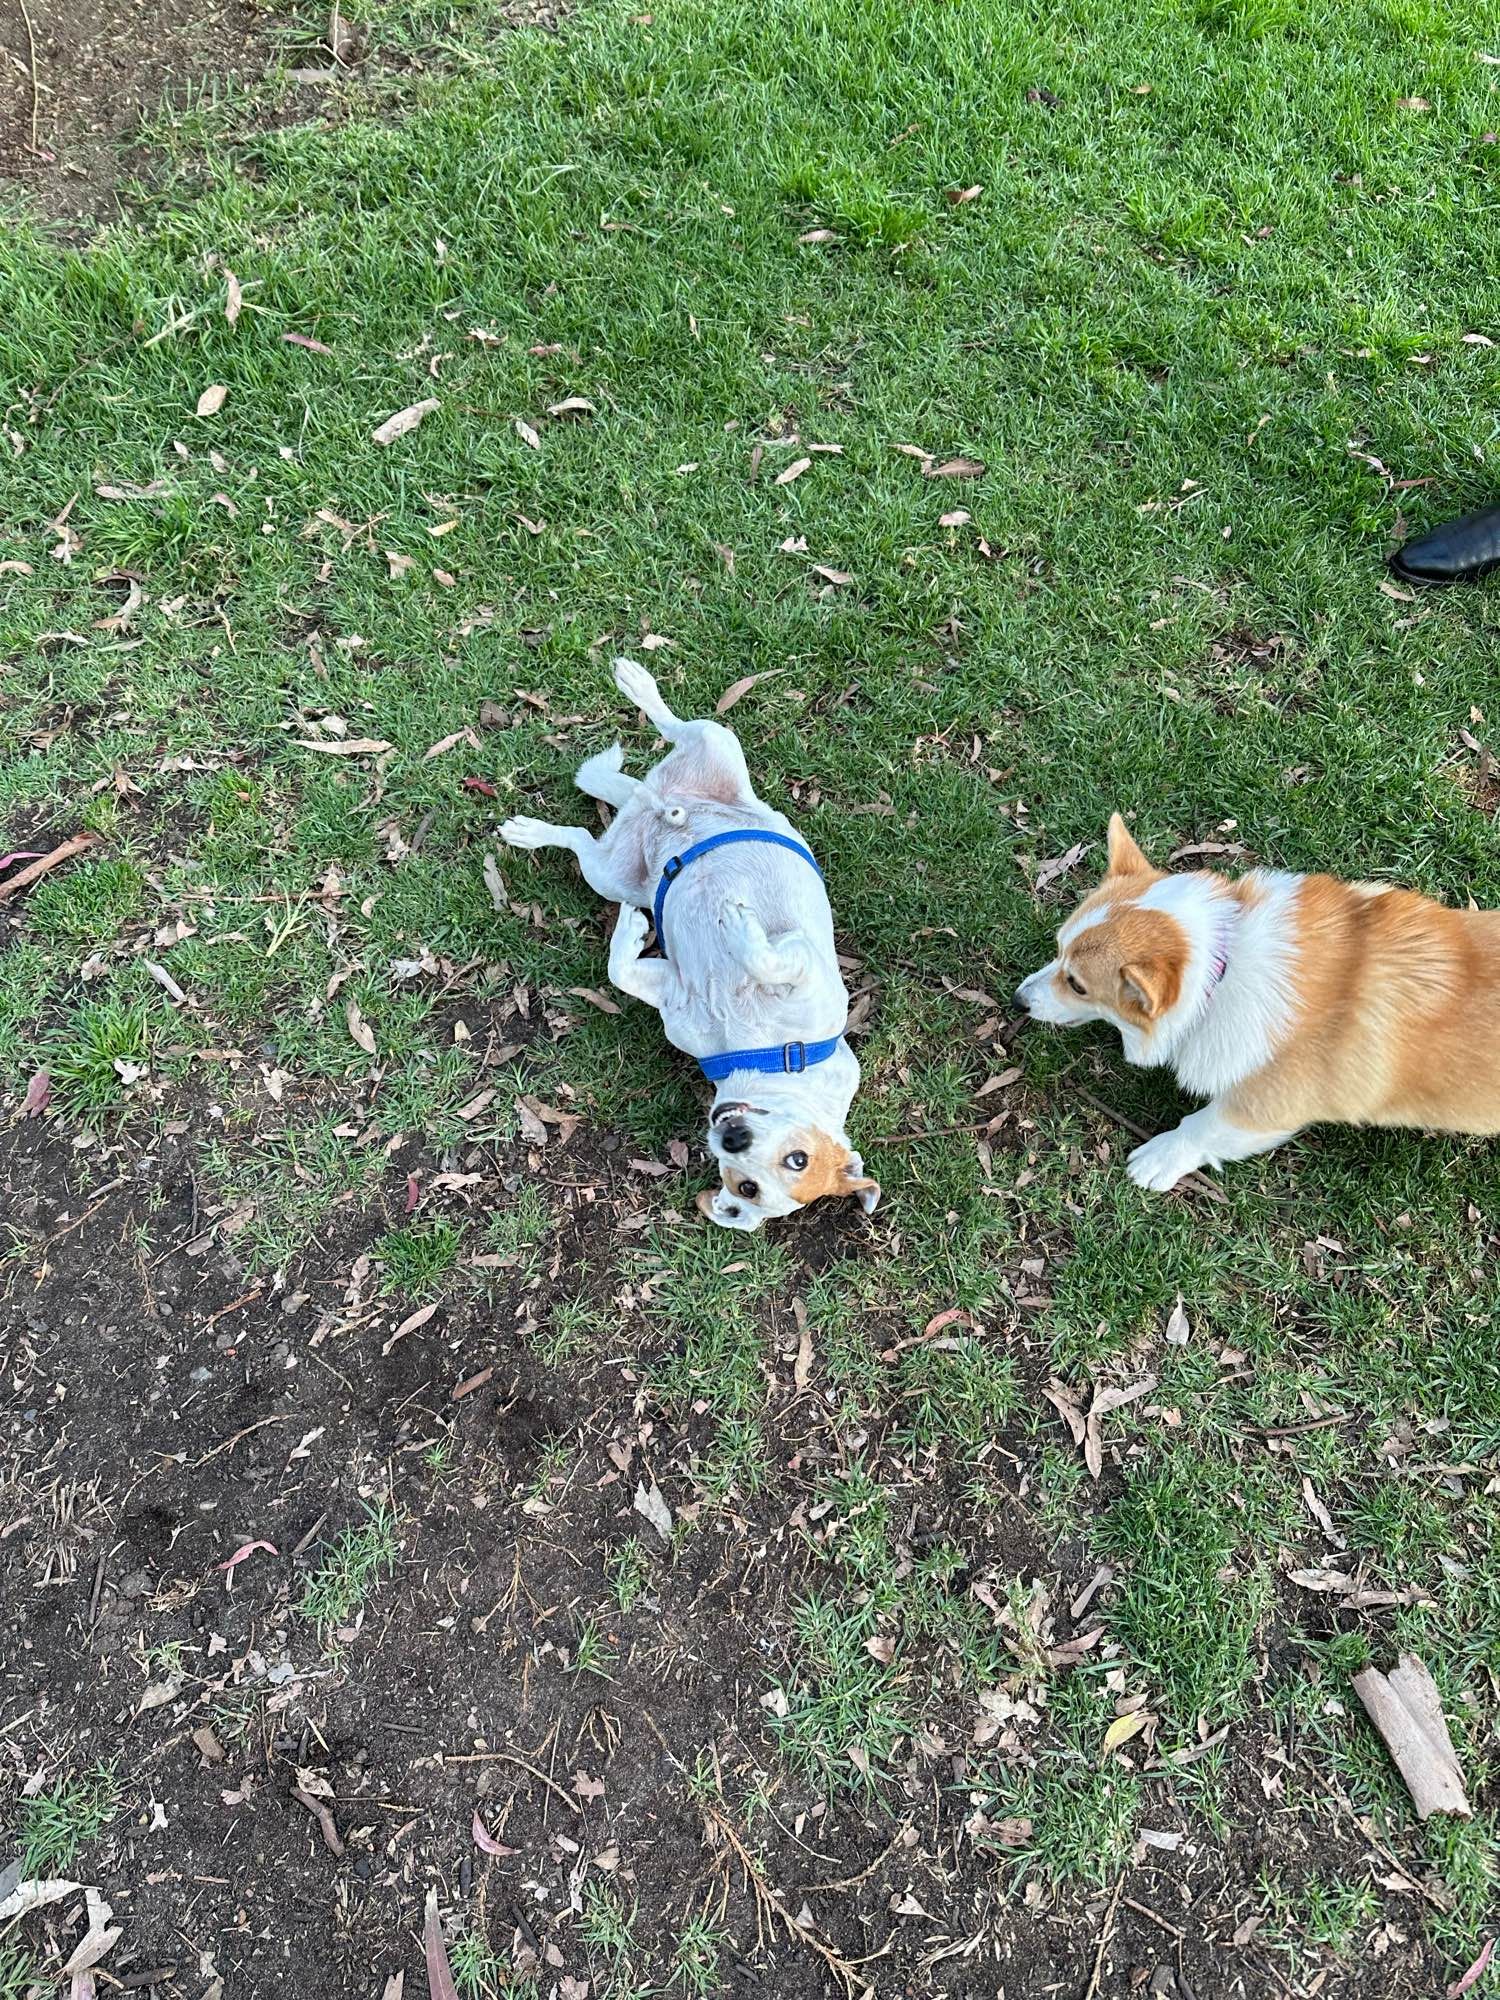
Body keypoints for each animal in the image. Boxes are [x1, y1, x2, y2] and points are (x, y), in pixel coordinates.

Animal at [502, 664, 880, 1224]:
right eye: (798, 1157)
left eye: (748, 1189)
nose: (734, 1136)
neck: (771, 1054)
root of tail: (658, 802)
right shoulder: (805, 966)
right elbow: (767, 959)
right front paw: (735, 928)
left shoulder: (671, 991)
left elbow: (621, 970)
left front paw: (638, 934)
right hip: (717, 742)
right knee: (677, 726)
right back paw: (636, 685)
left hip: (610, 872)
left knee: (583, 839)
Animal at [1016, 812, 1496, 1184]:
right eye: (1058, 948)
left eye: (1077, 984)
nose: (1018, 1000)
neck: (1223, 967)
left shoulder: (1267, 1103)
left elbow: (1202, 1126)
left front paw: (1157, 1159)